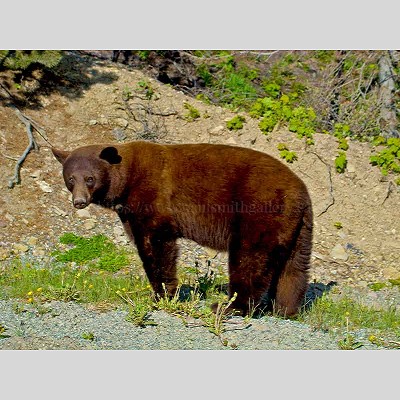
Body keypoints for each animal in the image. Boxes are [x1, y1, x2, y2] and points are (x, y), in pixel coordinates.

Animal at [52, 142, 312, 318]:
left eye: (89, 178)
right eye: (70, 178)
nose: (79, 202)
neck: (127, 179)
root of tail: (300, 192)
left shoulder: (152, 199)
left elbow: (156, 247)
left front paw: (162, 294)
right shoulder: (129, 211)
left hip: (258, 211)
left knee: (249, 258)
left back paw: (230, 306)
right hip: (297, 227)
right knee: (294, 267)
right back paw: (285, 309)